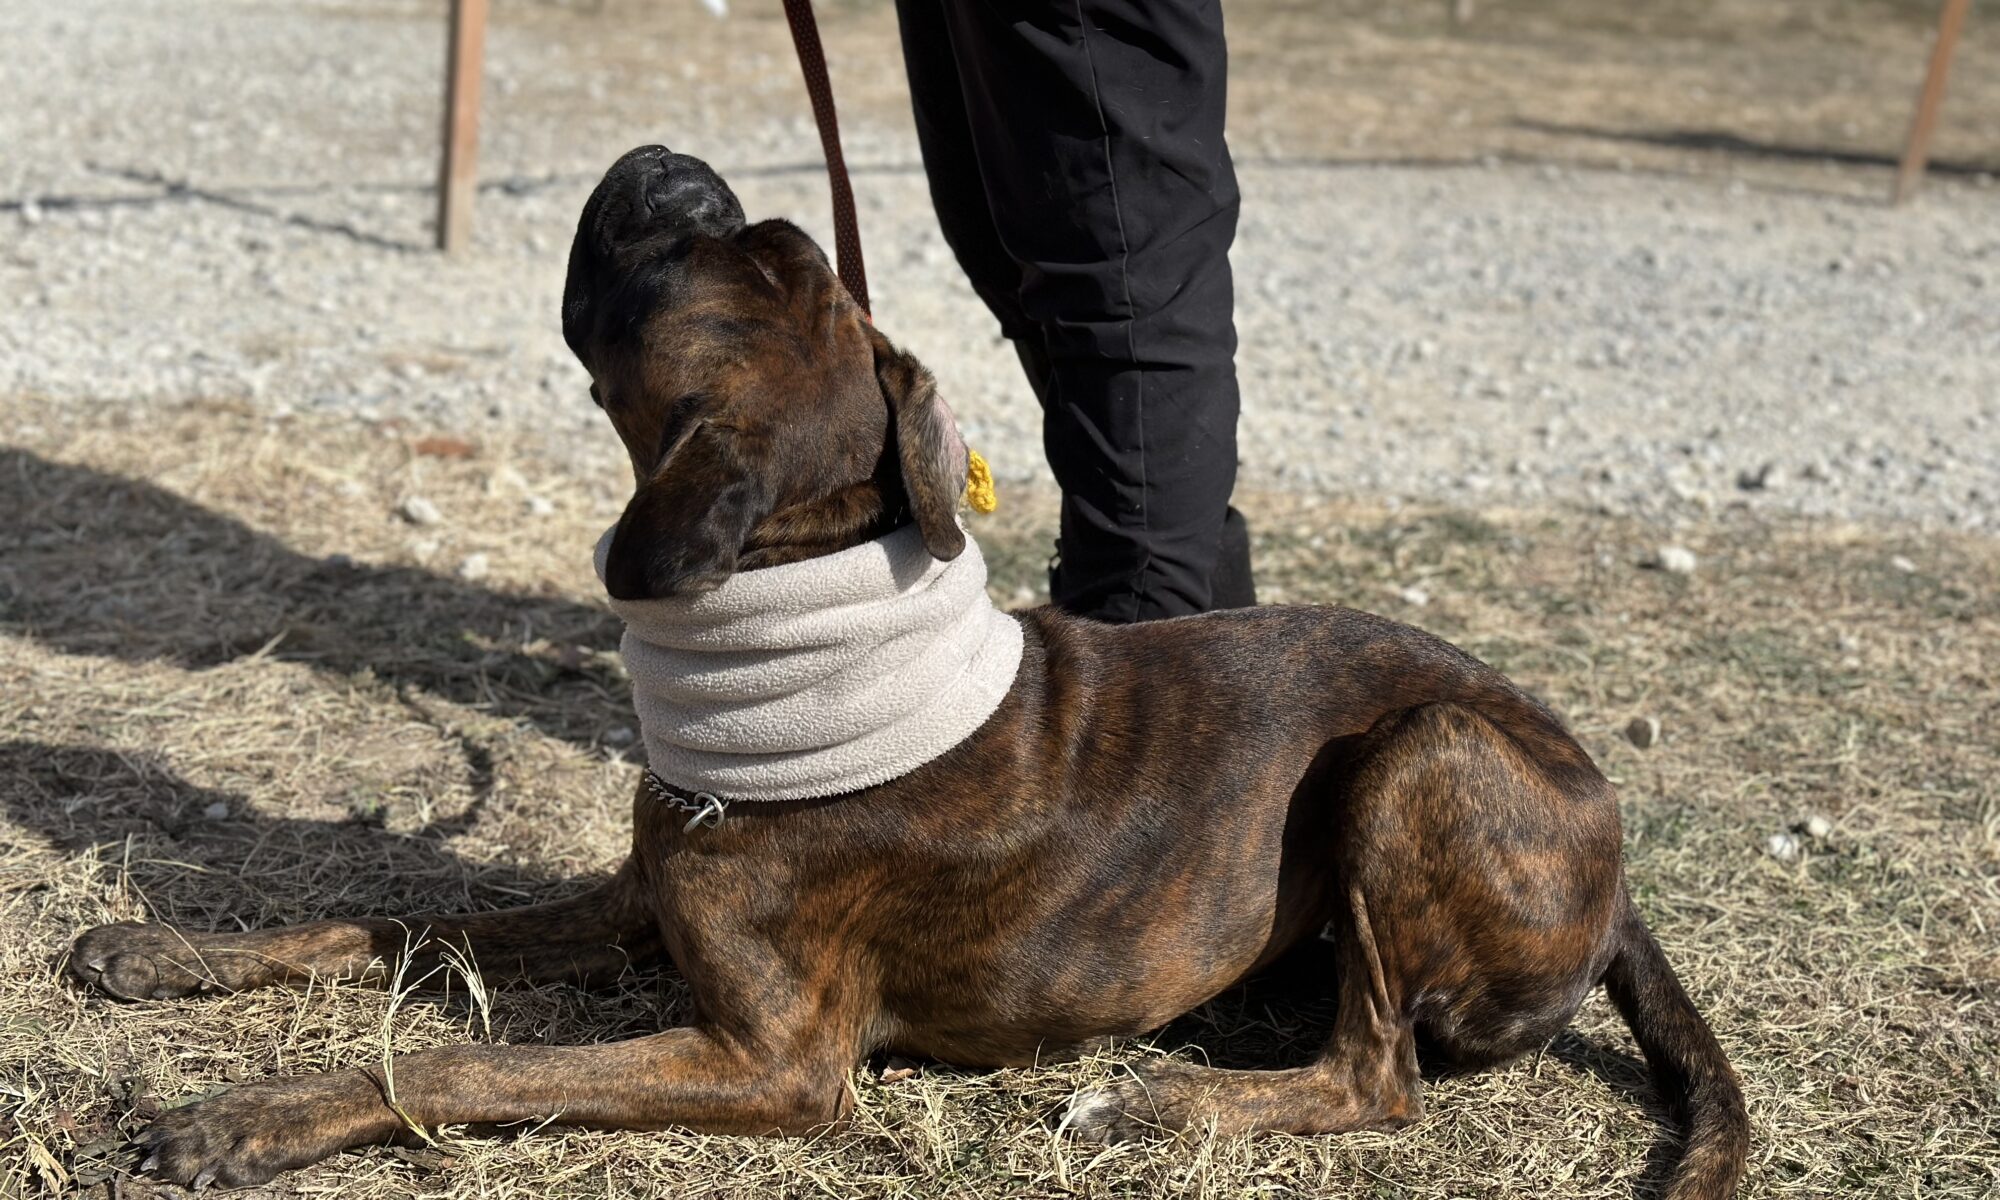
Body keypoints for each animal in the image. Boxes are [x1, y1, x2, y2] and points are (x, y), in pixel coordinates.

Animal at [66, 145, 1752, 1192]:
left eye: (704, 250)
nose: (676, 168)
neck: (801, 647)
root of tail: (1621, 872)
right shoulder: (628, 910)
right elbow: (396, 921)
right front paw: (165, 953)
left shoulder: (772, 1064)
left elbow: (455, 1070)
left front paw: (245, 1116)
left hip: (1422, 756)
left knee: (1376, 1078)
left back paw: (1162, 1097)